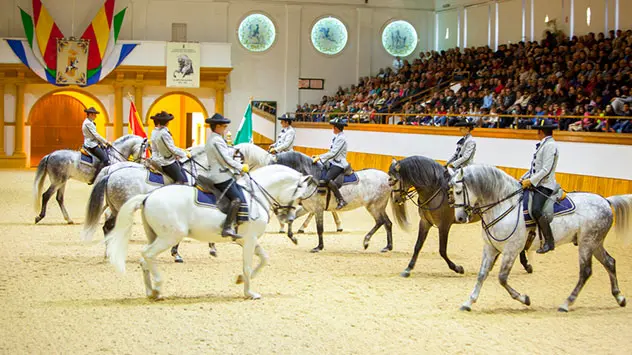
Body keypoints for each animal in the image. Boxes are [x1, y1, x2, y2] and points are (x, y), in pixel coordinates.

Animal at [105, 165, 318, 300]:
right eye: (299, 195)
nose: (289, 218)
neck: (255, 197)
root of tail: (148, 196)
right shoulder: (249, 240)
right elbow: (248, 266)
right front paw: (250, 293)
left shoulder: (247, 240)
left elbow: (264, 259)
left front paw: (240, 280)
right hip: (169, 237)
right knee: (147, 254)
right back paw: (157, 287)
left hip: (155, 236)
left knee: (144, 260)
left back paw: (151, 292)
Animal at [388, 158, 532, 278]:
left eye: (394, 180)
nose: (396, 200)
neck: (436, 191)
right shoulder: (425, 222)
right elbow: (418, 246)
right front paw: (408, 268)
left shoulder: (444, 226)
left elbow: (442, 250)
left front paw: (458, 268)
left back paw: (525, 264)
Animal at [452, 165, 628, 312]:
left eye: (458, 191)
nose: (460, 218)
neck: (504, 205)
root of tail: (605, 201)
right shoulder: (490, 248)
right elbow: (482, 274)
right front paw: (468, 302)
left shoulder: (512, 249)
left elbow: (502, 278)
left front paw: (524, 299)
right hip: (595, 243)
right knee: (610, 262)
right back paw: (620, 298)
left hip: (587, 243)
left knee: (585, 271)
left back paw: (566, 303)